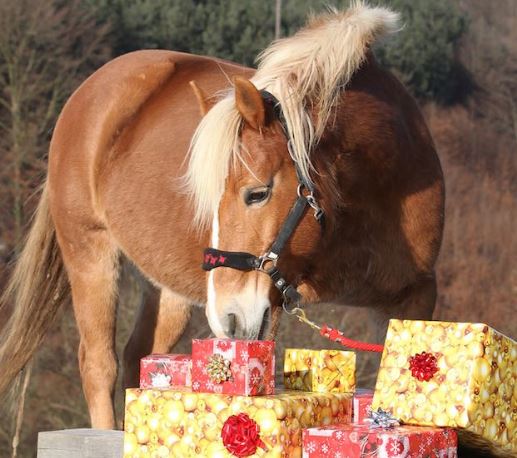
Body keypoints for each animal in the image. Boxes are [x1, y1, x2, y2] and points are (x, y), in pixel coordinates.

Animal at [0, 5, 444, 430]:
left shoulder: (413, 296)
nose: (227, 319)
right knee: (99, 364)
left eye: (257, 193)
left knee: (138, 358)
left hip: (169, 290)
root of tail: (90, 91)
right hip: (90, 252)